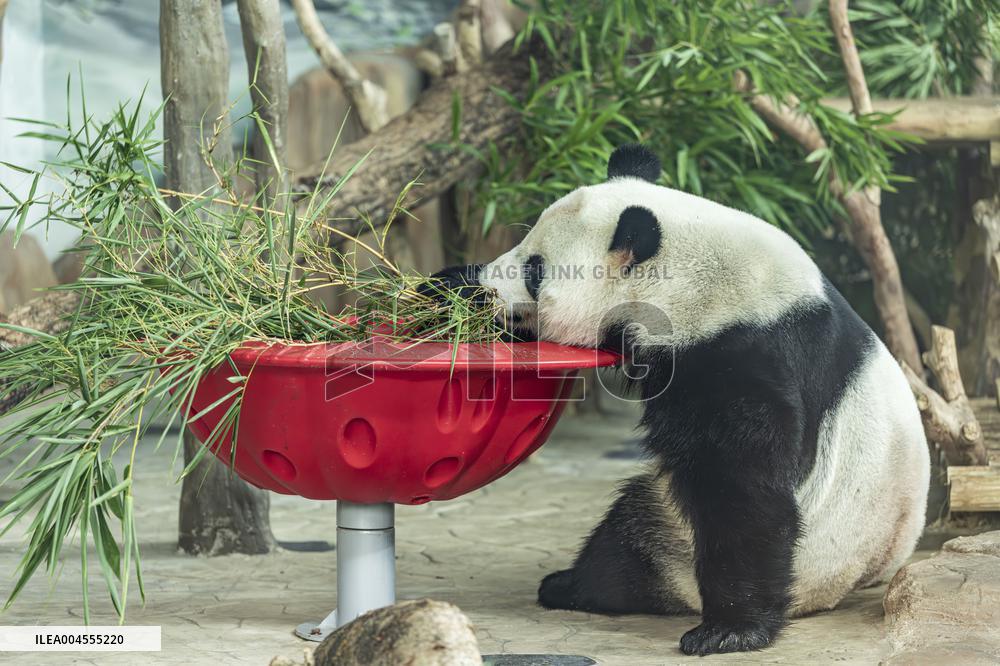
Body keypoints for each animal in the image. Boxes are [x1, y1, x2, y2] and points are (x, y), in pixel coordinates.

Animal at [427, 144, 930, 656]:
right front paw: (447, 291)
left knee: (628, 541)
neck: (694, 274)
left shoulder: (740, 350)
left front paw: (730, 630)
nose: (491, 285)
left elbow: (743, 484)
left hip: (697, 543)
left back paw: (572, 585)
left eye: (535, 270)